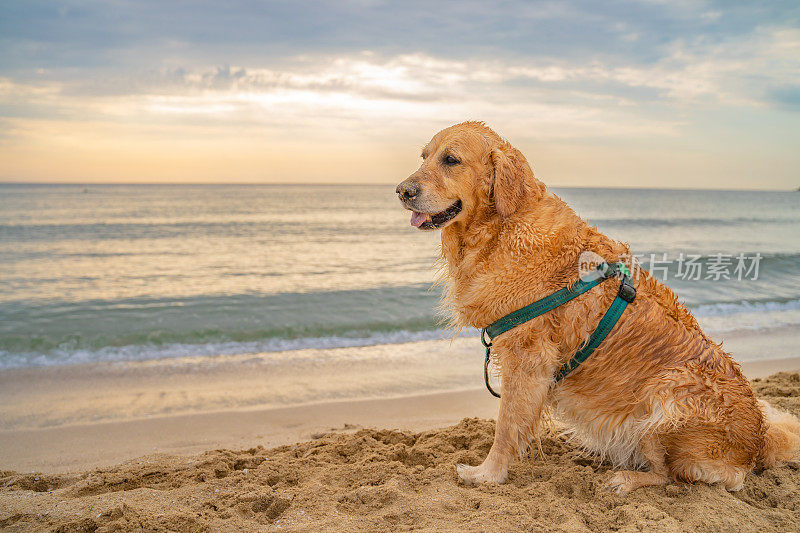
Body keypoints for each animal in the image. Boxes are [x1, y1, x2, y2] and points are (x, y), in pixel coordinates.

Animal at [396, 121, 800, 494]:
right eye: (424, 157)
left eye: (451, 160)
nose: (401, 191)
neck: (501, 226)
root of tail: (756, 444)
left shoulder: (529, 357)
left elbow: (506, 426)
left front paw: (488, 474)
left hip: (667, 394)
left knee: (668, 474)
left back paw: (627, 478)